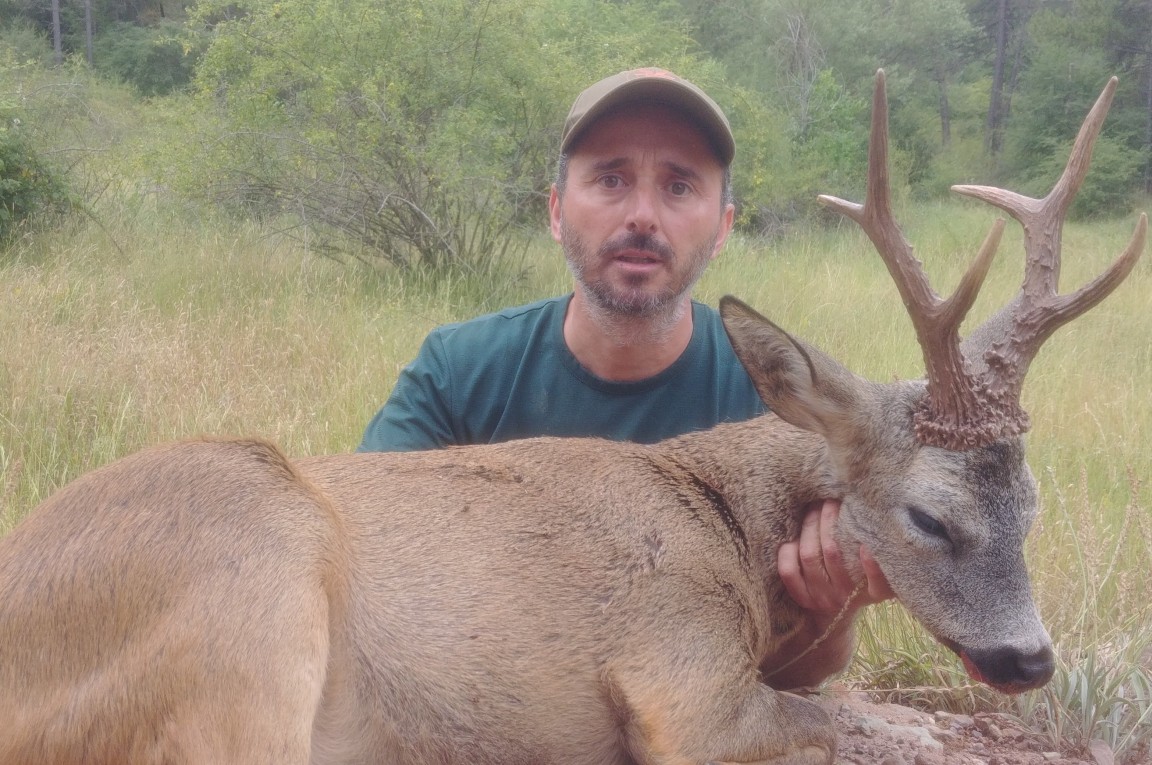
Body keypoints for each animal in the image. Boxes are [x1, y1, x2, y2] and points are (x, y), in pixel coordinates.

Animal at [0, 71, 1138, 765]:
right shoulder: (680, 676)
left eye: (1034, 504)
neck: (724, 523)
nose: (1031, 660)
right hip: (245, 597)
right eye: (931, 517)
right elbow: (853, 723)